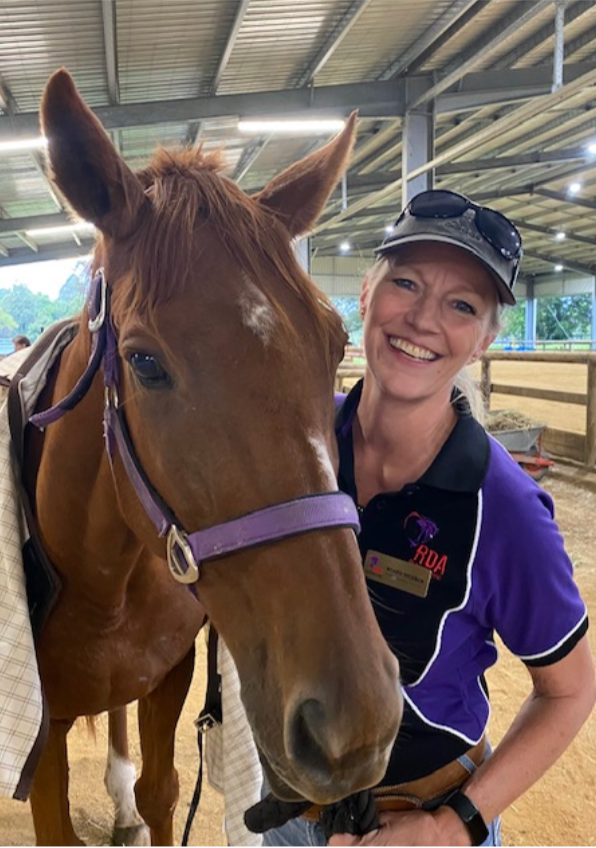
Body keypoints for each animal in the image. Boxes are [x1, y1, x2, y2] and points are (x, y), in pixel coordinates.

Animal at [21, 69, 402, 846]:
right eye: (144, 363)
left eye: (337, 345)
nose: (358, 724)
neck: (104, 583)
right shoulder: (43, 740)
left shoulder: (167, 682)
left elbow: (162, 792)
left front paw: (136, 801)